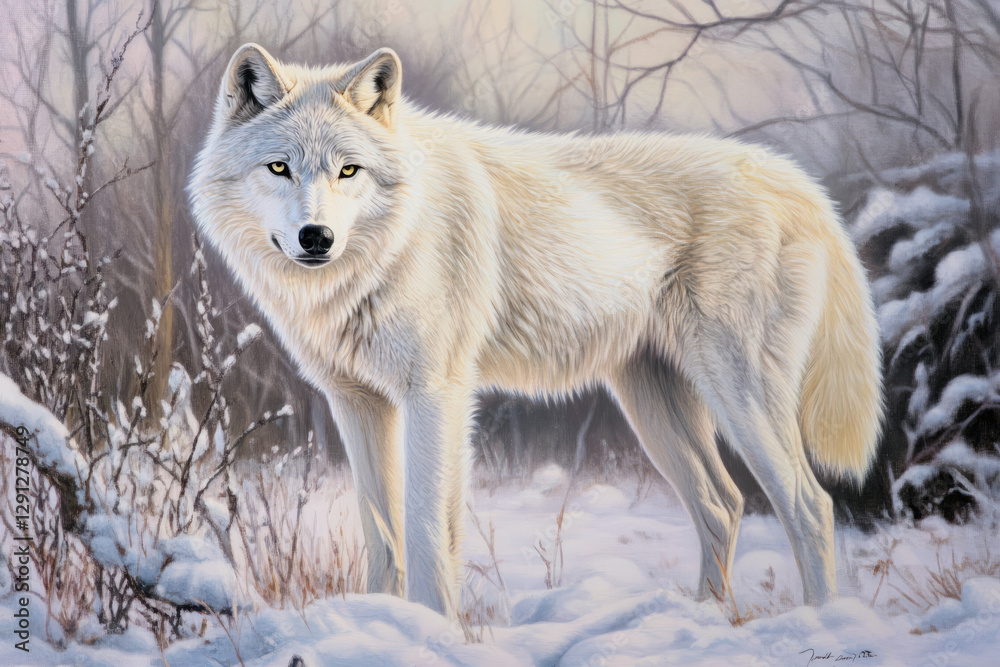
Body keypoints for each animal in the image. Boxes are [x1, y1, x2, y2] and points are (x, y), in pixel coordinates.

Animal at [188, 44, 883, 617]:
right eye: (279, 168)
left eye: (349, 172)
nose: (317, 237)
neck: (387, 250)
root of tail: (792, 176)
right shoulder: (356, 402)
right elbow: (381, 533)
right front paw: (384, 625)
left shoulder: (435, 393)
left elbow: (426, 529)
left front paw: (435, 629)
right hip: (652, 401)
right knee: (723, 504)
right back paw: (707, 618)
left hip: (738, 394)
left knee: (810, 505)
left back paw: (822, 623)